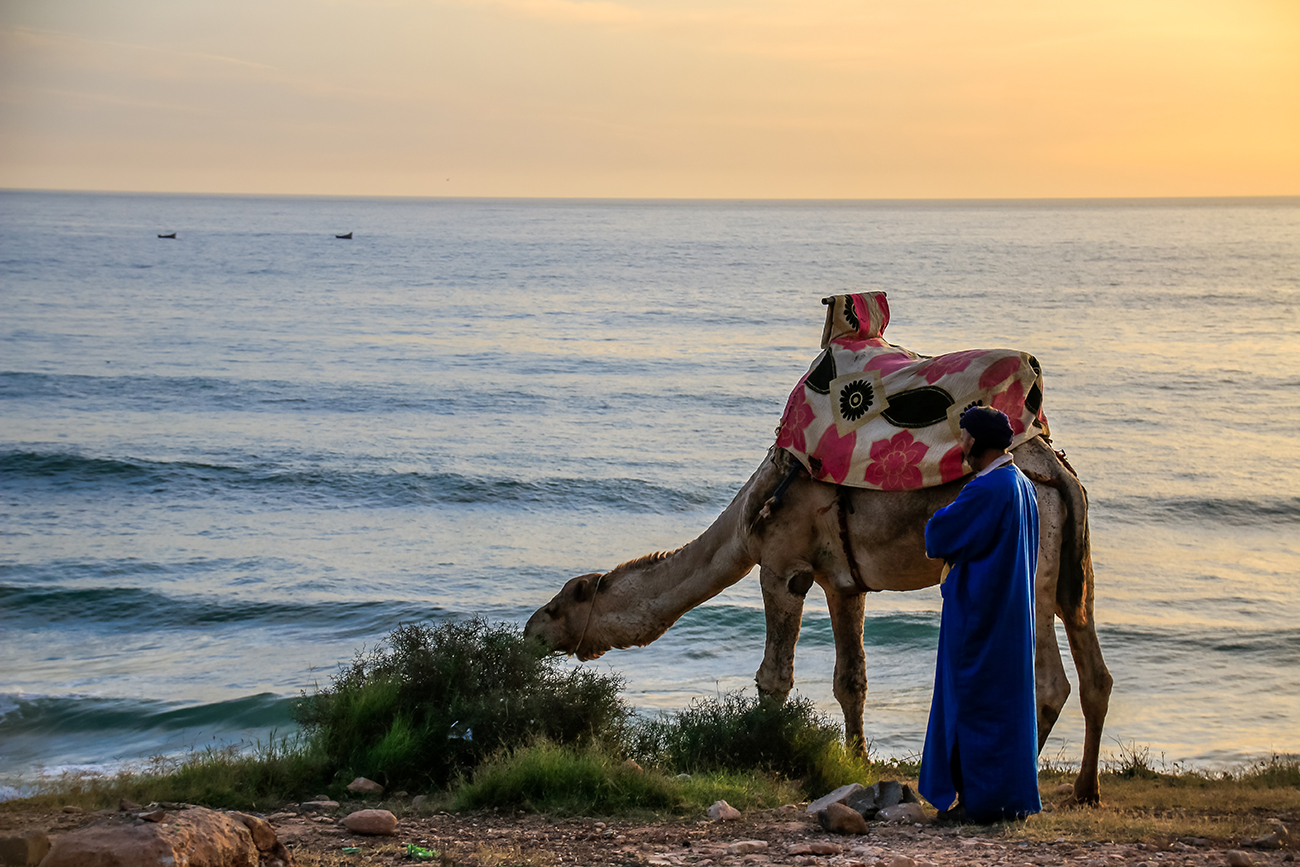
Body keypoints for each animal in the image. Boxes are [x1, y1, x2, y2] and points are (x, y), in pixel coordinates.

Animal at [527, 436, 1118, 805]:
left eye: (559, 604)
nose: (531, 631)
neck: (746, 522)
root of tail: (1058, 473)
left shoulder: (782, 566)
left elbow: (774, 678)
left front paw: (762, 755)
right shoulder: (844, 581)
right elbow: (851, 679)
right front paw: (857, 763)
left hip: (1030, 559)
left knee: (1049, 681)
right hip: (1074, 562)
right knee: (1094, 669)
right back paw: (1085, 789)